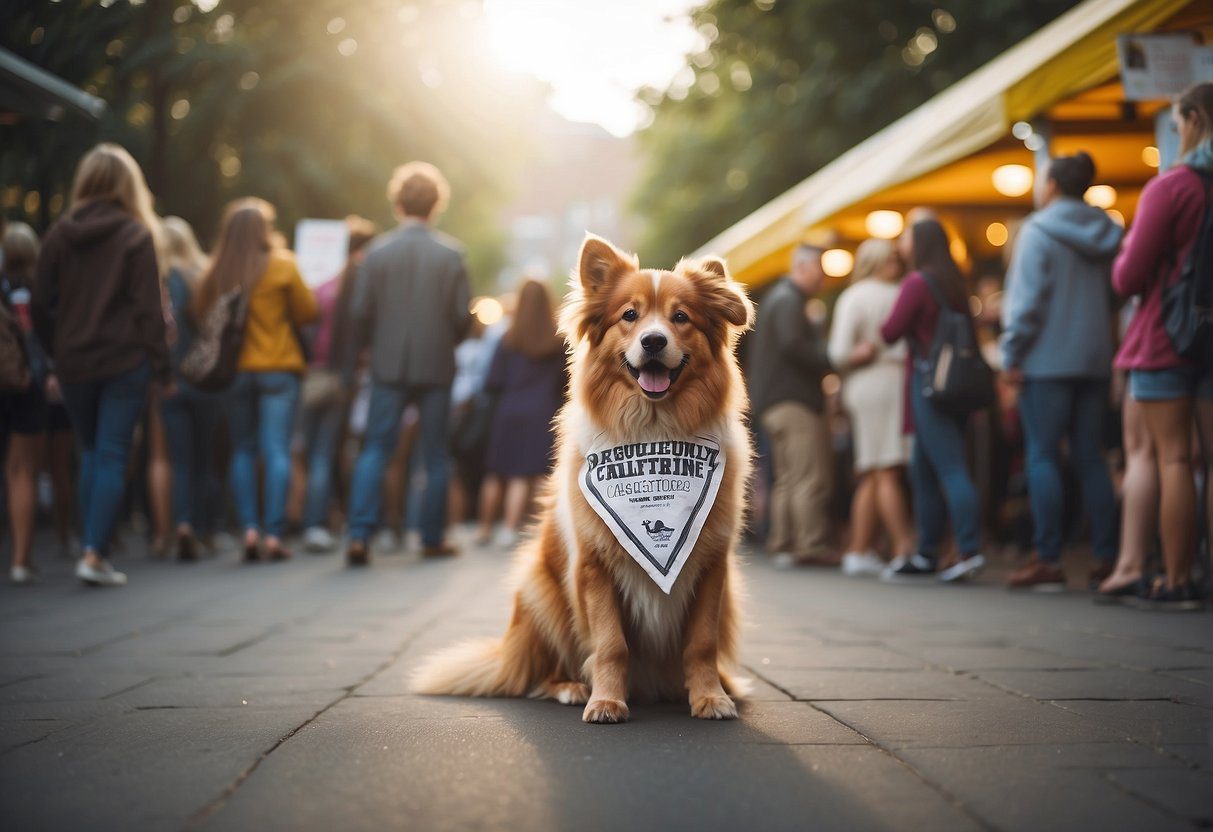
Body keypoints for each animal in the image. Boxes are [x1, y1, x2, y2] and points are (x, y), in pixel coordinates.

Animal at [417, 235, 756, 722]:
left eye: (681, 317)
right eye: (629, 315)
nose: (654, 340)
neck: (653, 431)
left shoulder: (712, 565)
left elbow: (702, 643)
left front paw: (710, 696)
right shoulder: (595, 564)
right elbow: (611, 645)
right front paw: (606, 700)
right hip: (538, 587)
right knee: (540, 675)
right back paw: (571, 687)